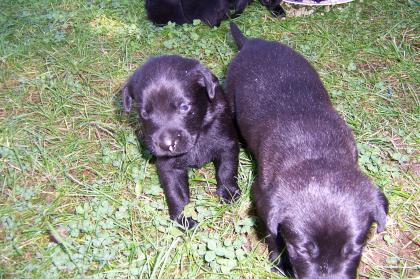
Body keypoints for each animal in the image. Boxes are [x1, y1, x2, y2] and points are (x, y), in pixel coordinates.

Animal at [122, 55, 240, 230]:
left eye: (184, 107)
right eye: (144, 113)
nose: (167, 144)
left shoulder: (227, 144)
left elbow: (227, 170)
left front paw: (229, 193)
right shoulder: (168, 166)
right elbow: (176, 192)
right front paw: (183, 219)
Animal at [226, 23, 388, 278]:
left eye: (354, 250)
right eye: (302, 249)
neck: (316, 151)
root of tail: (252, 43)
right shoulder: (264, 203)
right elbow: (273, 237)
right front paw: (280, 262)